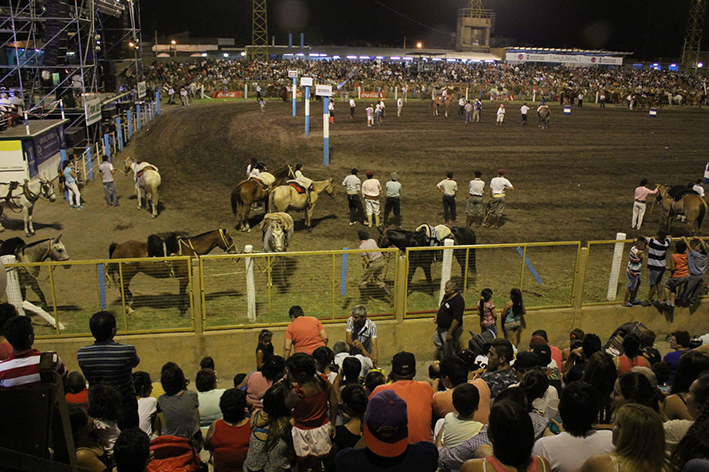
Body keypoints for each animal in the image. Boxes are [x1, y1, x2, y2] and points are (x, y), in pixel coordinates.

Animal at [106, 228, 236, 316]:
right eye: (229, 238)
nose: (234, 251)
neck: (189, 249)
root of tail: (118, 246)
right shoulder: (183, 277)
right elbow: (181, 292)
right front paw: (182, 310)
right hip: (127, 274)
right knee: (123, 286)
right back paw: (129, 307)